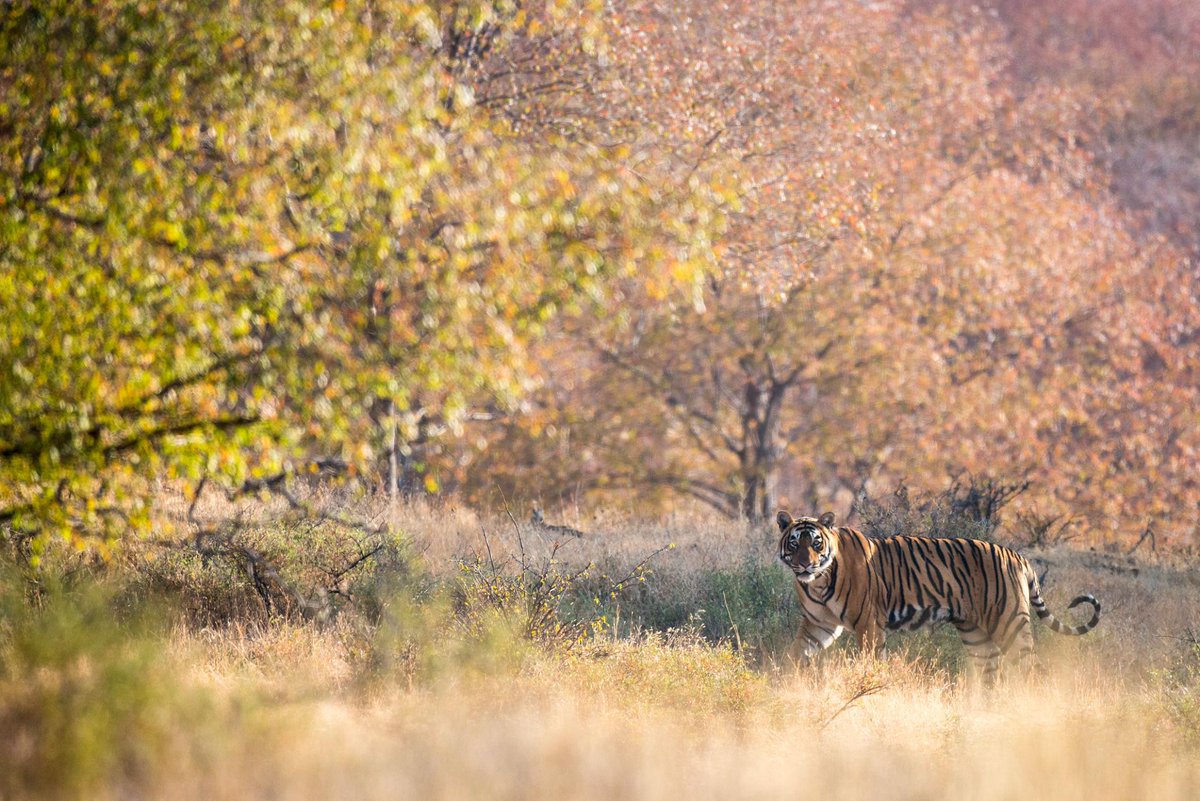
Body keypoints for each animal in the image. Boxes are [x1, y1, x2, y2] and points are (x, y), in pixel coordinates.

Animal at [776, 510, 1100, 681]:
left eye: (816, 544)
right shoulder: (820, 625)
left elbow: (871, 660)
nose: (805, 564)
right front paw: (784, 681)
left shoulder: (868, 624)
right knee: (991, 674)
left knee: (1033, 669)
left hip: (1009, 623)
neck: (817, 582)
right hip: (976, 634)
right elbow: (794, 653)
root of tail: (1017, 555)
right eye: (794, 544)